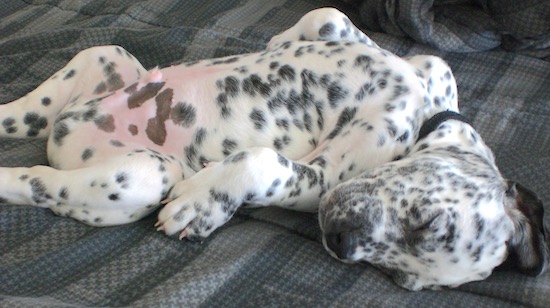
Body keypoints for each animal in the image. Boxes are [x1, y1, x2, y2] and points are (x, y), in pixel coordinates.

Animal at [1, 7, 548, 290]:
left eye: (397, 278)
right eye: (429, 222)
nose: (340, 244)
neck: (422, 103)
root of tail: (62, 135)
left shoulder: (322, 179)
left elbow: (265, 162)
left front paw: (202, 204)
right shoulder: (417, 63)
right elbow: (328, 17)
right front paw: (279, 41)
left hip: (140, 176)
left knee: (38, 181)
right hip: (104, 58)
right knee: (19, 115)